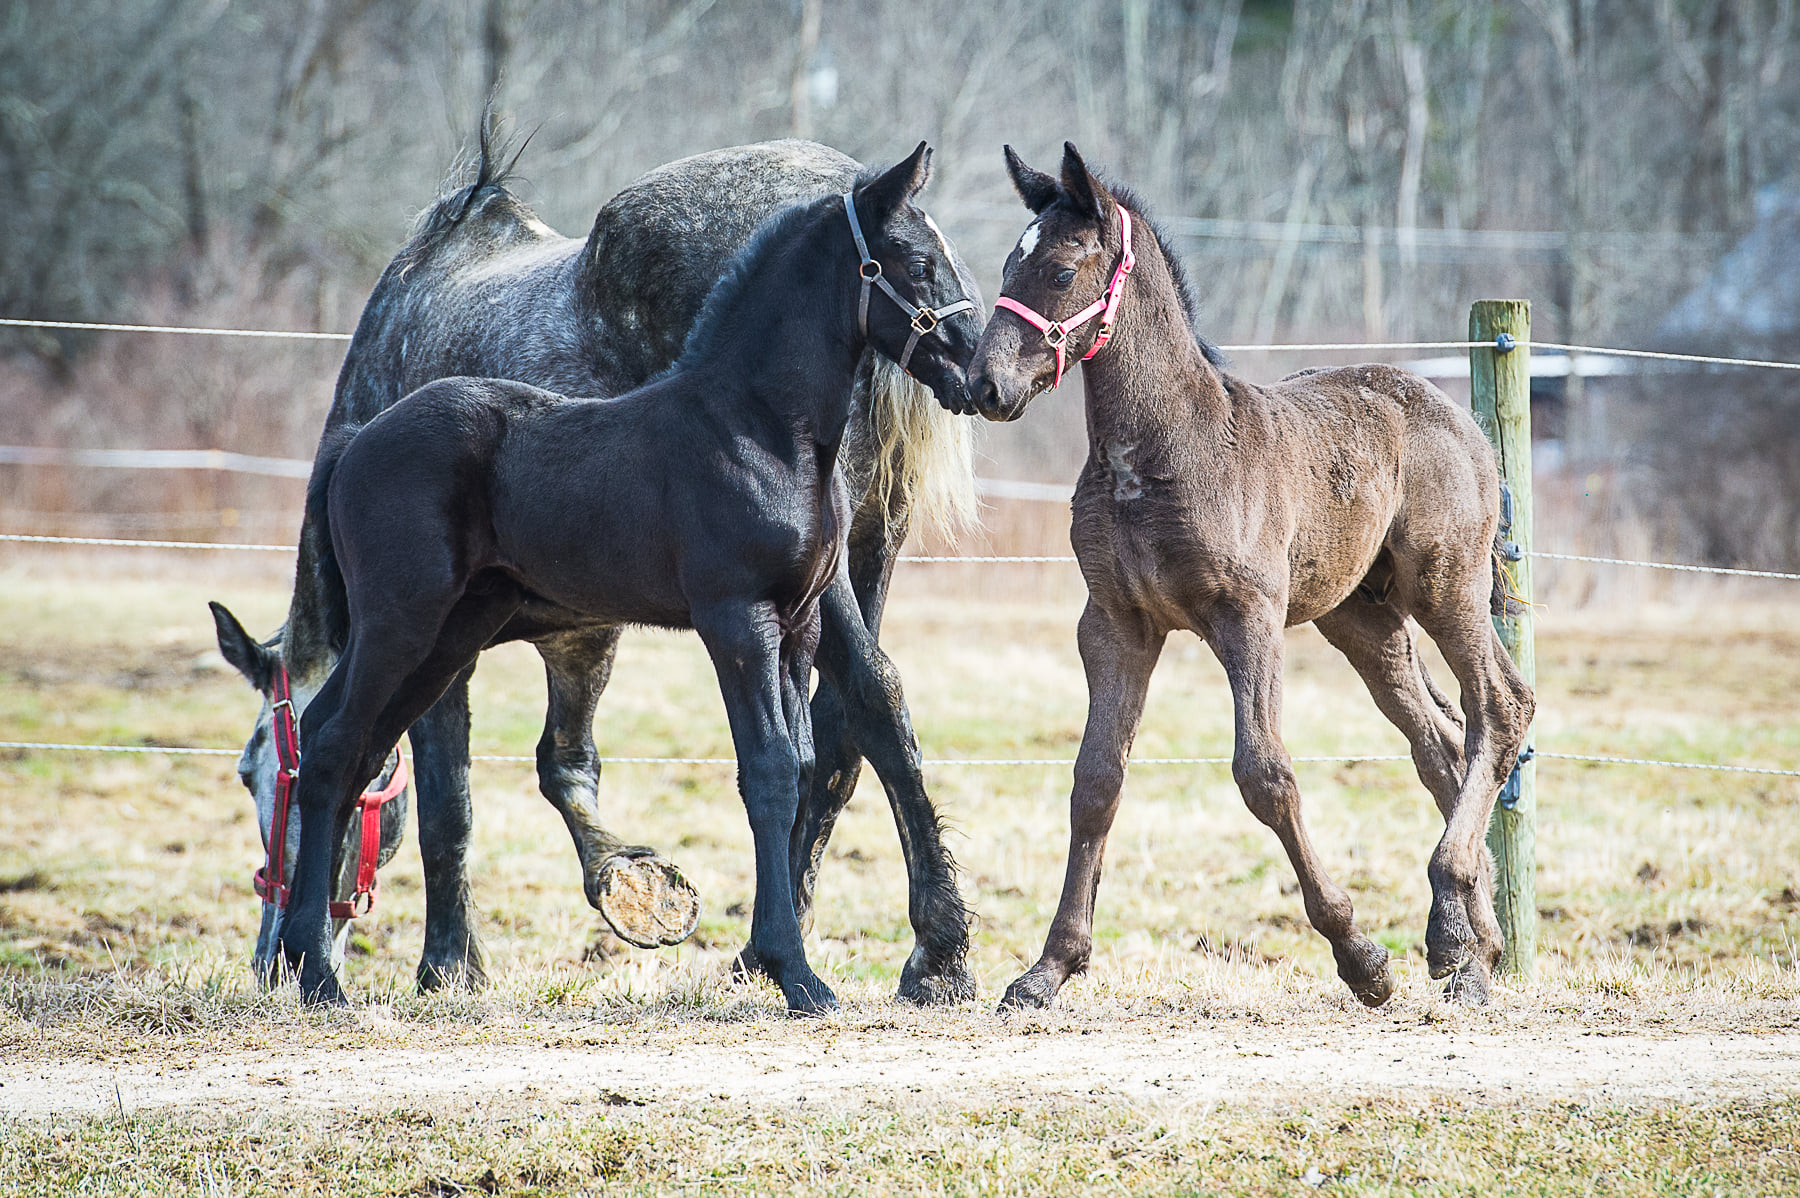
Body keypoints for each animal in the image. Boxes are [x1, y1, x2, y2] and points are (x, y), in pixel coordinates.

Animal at [210, 121, 986, 1000]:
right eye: (914, 260)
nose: (980, 372)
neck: (751, 424)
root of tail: (356, 443)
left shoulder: (791, 626)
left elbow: (789, 765)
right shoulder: (735, 621)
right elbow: (763, 771)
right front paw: (789, 971)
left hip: (440, 635)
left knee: (350, 742)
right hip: (405, 625)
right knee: (339, 740)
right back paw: (318, 973)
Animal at [972, 146, 1533, 1007]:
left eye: (1062, 269)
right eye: (1010, 262)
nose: (984, 385)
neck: (1162, 451)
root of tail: (1462, 422)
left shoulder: (1249, 618)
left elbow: (1264, 772)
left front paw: (1361, 957)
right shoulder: (1115, 623)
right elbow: (1096, 780)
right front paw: (1046, 970)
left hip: (1446, 585)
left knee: (1501, 707)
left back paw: (1448, 931)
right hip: (1362, 620)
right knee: (1440, 740)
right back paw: (1474, 950)